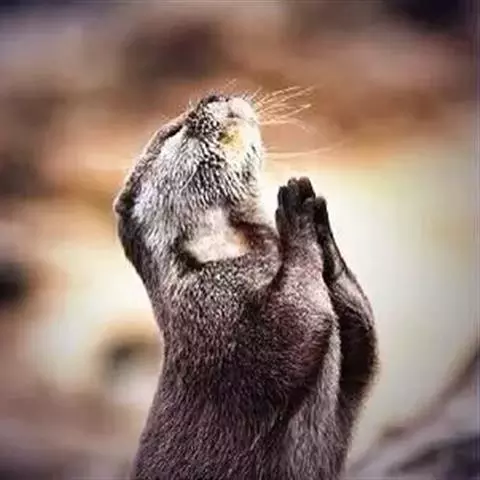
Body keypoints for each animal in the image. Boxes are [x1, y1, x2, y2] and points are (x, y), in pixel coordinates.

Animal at [113, 93, 378, 480]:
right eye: (174, 130)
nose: (213, 96)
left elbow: (363, 351)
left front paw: (322, 229)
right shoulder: (211, 317)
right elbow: (288, 334)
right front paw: (296, 217)